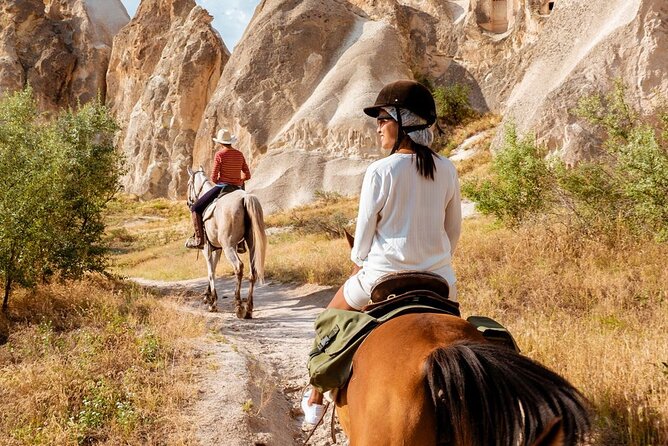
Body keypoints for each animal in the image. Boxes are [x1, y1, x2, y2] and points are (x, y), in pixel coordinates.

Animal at [185, 167, 266, 318]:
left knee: (238, 267)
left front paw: (213, 302)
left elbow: (211, 271)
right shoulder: (218, 248)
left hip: (229, 247)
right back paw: (249, 309)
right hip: (251, 244)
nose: (189, 203)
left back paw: (239, 306)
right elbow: (214, 268)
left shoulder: (207, 248)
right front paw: (208, 296)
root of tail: (245, 198)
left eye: (188, 184)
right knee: (253, 271)